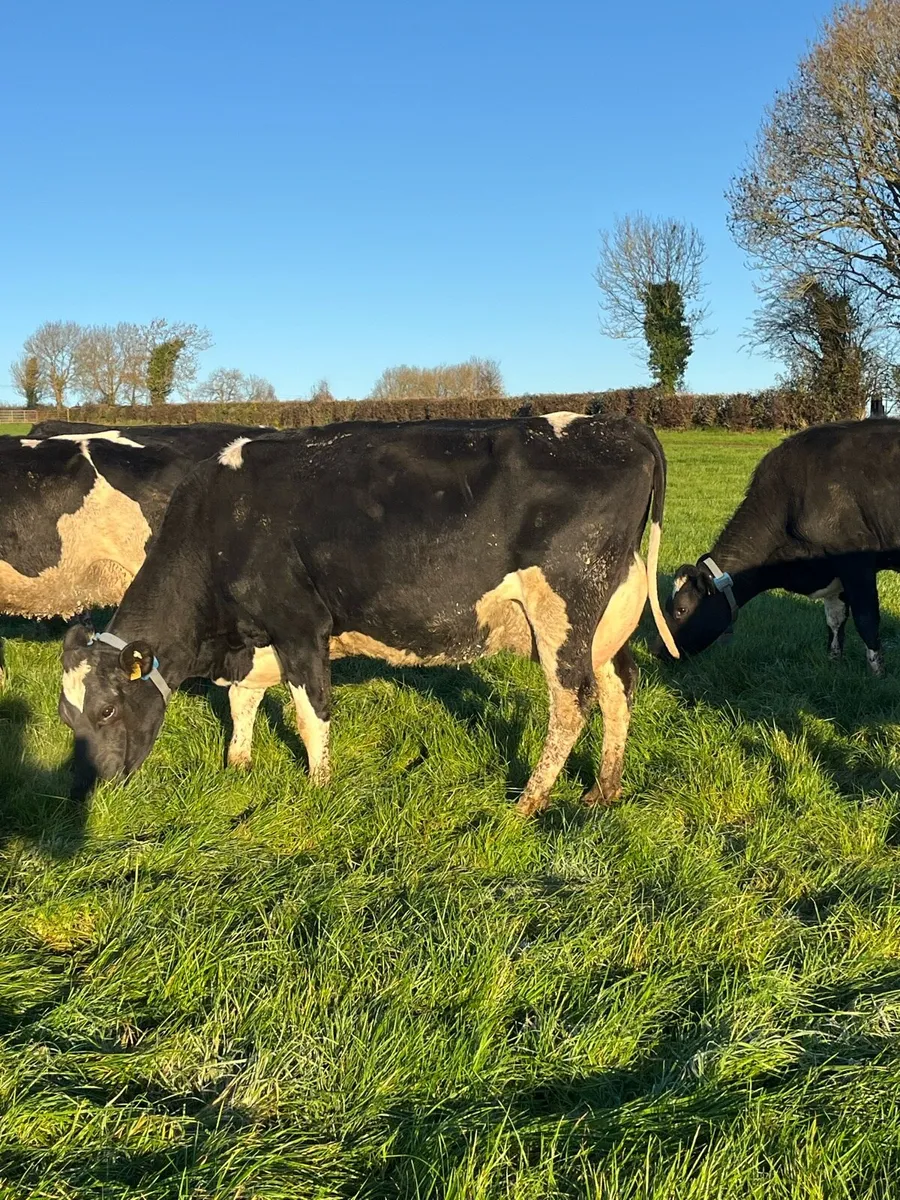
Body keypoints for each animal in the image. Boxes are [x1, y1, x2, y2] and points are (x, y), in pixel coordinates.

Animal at [59, 413, 679, 816]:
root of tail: (615, 423)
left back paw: (530, 800)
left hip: (564, 606)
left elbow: (310, 714)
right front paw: (238, 764)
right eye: (69, 720)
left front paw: (319, 787)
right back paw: (604, 789)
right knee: (620, 684)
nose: (99, 788)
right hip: (607, 617)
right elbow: (243, 701)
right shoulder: (257, 639)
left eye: (108, 709)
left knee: (572, 702)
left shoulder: (299, 626)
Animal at [665, 419, 900, 674]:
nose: (659, 650)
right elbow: (835, 619)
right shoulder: (832, 571)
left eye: (681, 610)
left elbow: (867, 618)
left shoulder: (855, 557)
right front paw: (833, 664)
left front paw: (877, 673)